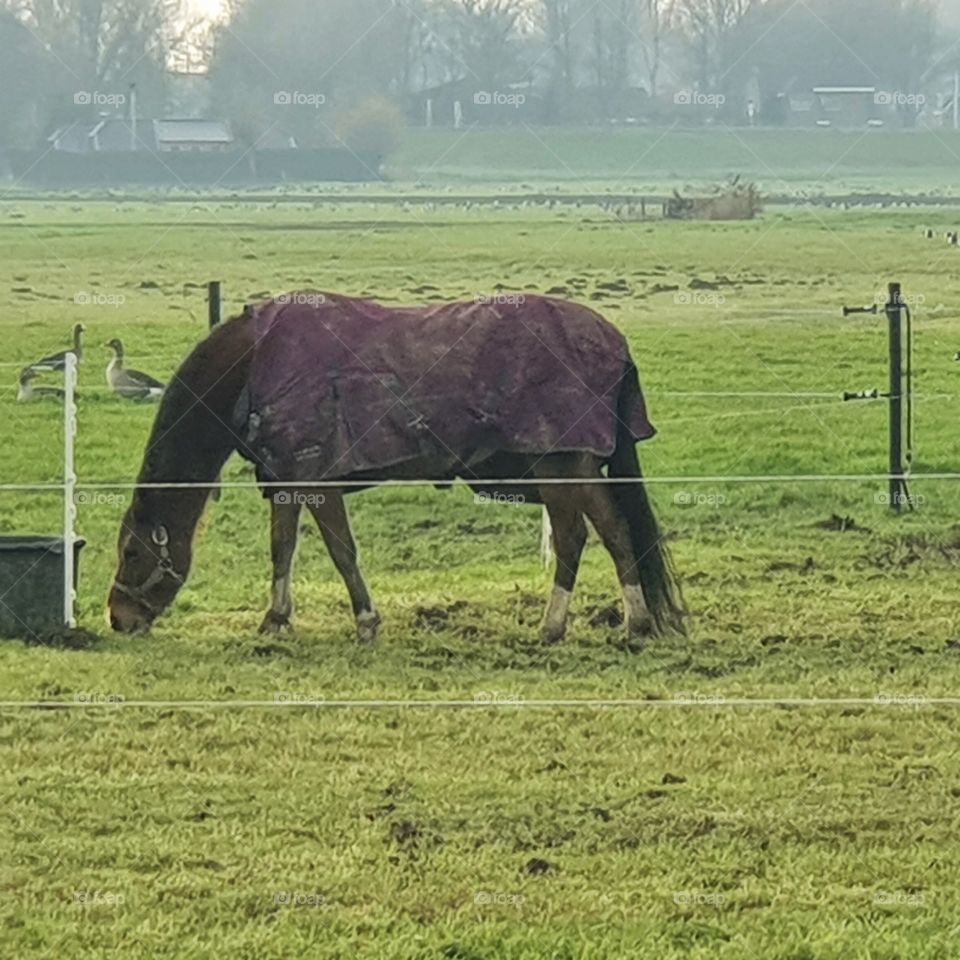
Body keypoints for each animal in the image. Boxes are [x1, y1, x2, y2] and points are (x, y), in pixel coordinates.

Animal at [107, 292, 684, 644]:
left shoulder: (317, 481)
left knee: (582, 536)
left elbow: (342, 552)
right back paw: (620, 622)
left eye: (132, 553)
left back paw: (568, 624)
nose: (118, 617)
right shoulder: (289, 478)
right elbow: (282, 548)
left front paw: (365, 621)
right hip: (568, 468)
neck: (256, 363)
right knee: (605, 533)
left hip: (562, 466)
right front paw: (275, 617)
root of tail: (614, 341)